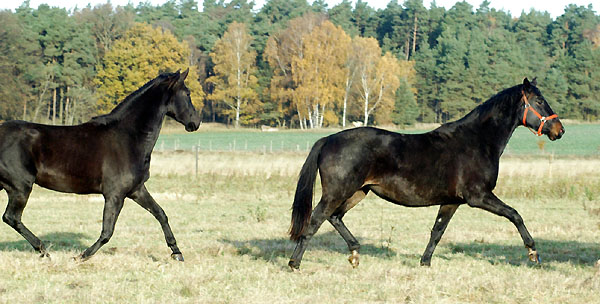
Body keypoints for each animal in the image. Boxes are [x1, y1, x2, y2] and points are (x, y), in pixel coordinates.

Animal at [0, 69, 202, 262]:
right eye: (187, 93)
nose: (196, 122)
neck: (128, 137)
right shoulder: (115, 195)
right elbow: (107, 231)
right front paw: (80, 256)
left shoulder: (136, 190)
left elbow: (160, 213)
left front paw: (177, 252)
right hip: (20, 188)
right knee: (11, 218)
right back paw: (44, 251)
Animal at [288, 77, 564, 270]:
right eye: (539, 101)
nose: (559, 130)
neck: (477, 141)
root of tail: (328, 139)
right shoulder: (478, 197)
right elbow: (515, 215)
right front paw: (533, 253)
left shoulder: (452, 201)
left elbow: (437, 231)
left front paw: (425, 262)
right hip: (338, 192)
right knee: (315, 220)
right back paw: (294, 263)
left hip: (358, 192)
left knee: (335, 217)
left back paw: (355, 253)